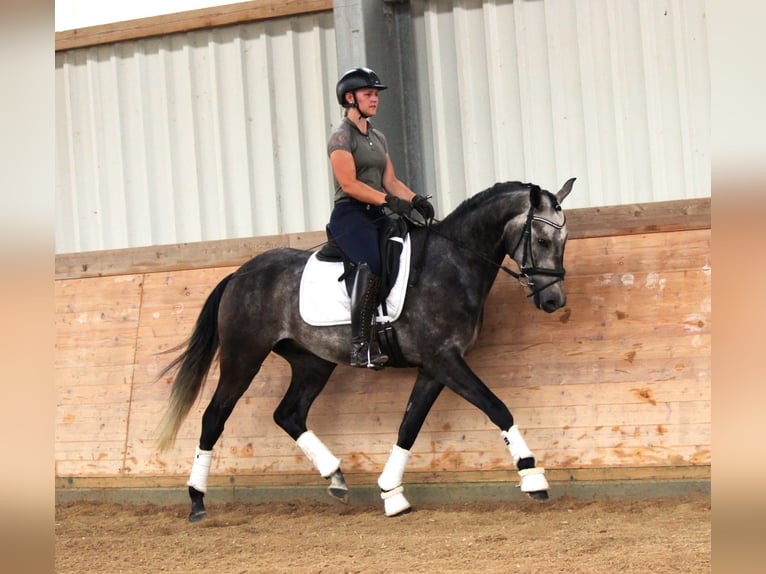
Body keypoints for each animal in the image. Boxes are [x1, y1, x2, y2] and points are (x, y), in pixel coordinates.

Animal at [158, 179, 576, 520]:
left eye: (564, 242)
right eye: (541, 241)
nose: (553, 300)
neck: (452, 264)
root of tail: (240, 274)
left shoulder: (434, 367)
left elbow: (409, 425)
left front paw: (392, 494)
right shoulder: (445, 360)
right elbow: (497, 407)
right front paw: (532, 476)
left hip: (313, 362)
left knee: (289, 414)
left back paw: (335, 477)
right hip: (243, 357)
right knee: (214, 417)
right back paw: (197, 500)